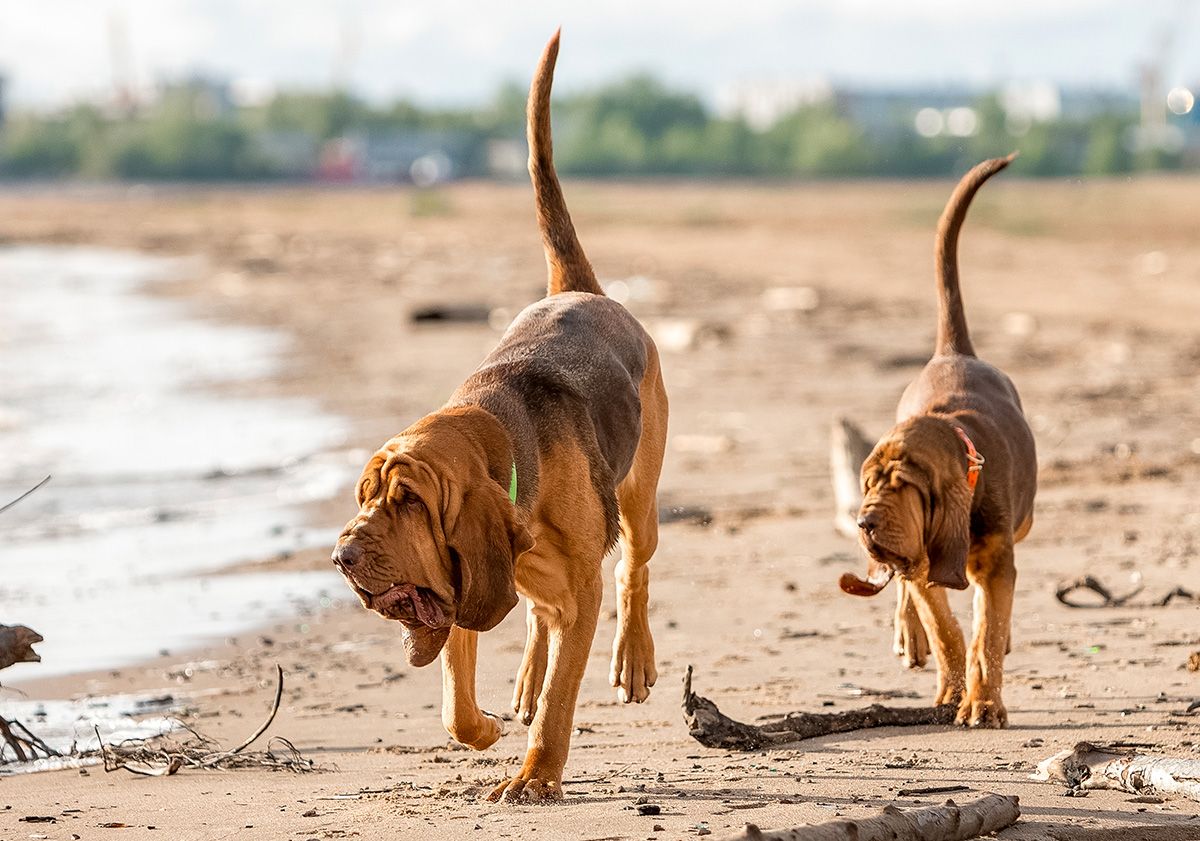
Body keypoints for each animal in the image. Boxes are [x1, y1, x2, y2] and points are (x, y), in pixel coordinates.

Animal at [328, 32, 667, 801]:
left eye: (409, 500)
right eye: (363, 496)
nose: (342, 557)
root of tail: (583, 289)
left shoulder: (581, 587)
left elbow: (564, 694)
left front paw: (535, 776)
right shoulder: (458, 583)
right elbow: (456, 697)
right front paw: (482, 731)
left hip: (640, 500)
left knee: (633, 573)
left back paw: (632, 660)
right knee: (539, 615)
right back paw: (523, 682)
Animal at [840, 155, 1036, 729]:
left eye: (904, 484)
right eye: (867, 484)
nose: (863, 522)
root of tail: (955, 350)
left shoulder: (996, 561)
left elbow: (986, 633)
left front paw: (984, 704)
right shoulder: (924, 563)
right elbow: (947, 630)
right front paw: (953, 693)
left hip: (1024, 522)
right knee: (907, 588)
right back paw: (909, 634)